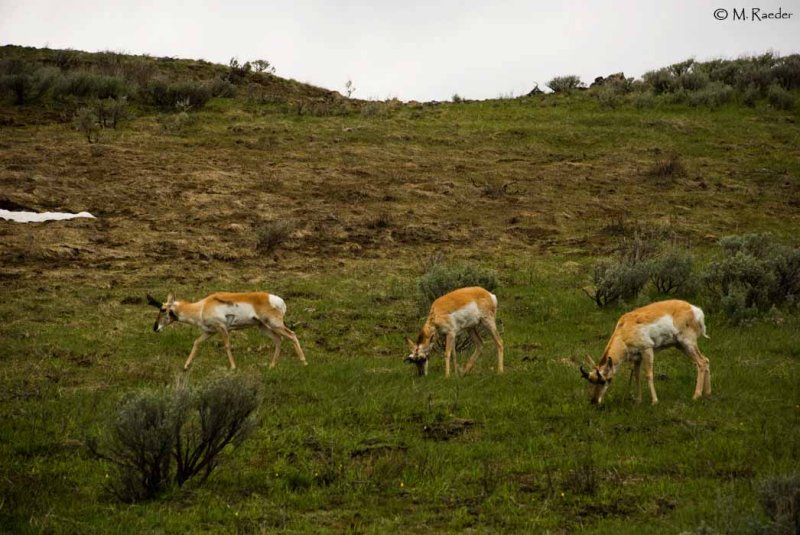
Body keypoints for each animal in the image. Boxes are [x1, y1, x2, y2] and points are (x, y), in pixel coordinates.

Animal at [147, 292, 306, 370]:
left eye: (162, 309)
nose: (155, 328)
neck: (201, 307)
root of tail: (278, 300)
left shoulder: (222, 328)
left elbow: (227, 346)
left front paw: (233, 367)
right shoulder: (210, 332)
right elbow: (196, 343)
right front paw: (186, 366)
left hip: (274, 324)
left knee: (292, 335)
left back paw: (304, 362)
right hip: (263, 327)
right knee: (279, 339)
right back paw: (271, 366)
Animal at [580, 300, 708, 404]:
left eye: (606, 380)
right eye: (591, 381)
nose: (594, 401)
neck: (623, 331)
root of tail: (694, 309)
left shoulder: (647, 350)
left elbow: (649, 375)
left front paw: (654, 401)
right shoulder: (637, 358)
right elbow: (637, 376)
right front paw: (638, 400)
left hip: (687, 343)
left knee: (701, 362)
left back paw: (696, 396)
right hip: (680, 346)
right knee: (706, 360)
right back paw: (708, 394)